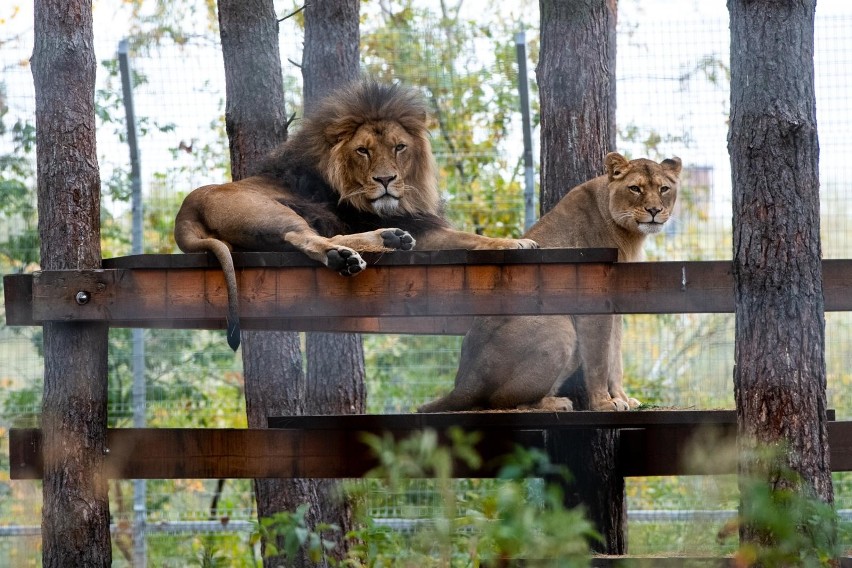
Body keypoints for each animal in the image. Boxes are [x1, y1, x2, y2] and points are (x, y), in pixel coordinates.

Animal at [174, 79, 536, 346]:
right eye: (363, 151)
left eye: (399, 147)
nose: (385, 180)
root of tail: (185, 213)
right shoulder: (422, 230)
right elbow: (472, 237)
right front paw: (516, 242)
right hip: (271, 211)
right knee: (306, 237)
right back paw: (348, 255)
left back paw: (389, 240)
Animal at [416, 153, 684, 412]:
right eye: (635, 188)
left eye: (664, 189)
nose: (654, 210)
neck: (626, 233)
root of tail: (464, 383)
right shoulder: (592, 305)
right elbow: (599, 360)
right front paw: (604, 403)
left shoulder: (614, 305)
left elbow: (614, 357)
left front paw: (624, 398)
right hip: (560, 328)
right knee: (504, 402)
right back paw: (557, 403)